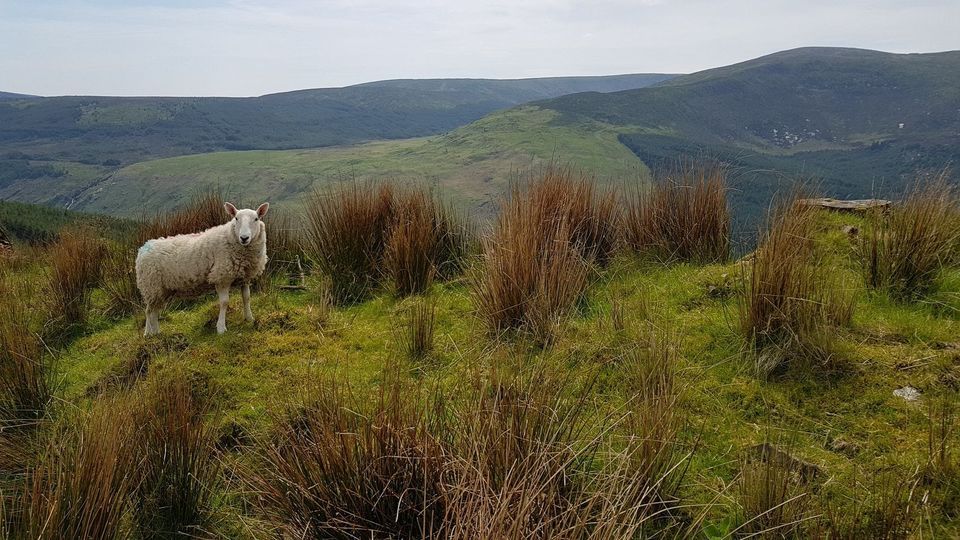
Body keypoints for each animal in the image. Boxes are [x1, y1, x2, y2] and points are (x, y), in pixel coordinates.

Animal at [136, 202, 270, 336]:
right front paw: (221, 328)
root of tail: (144, 248)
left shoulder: (244, 277)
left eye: (256, 219)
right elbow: (224, 302)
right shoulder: (221, 277)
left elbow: (246, 298)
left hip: (162, 289)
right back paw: (149, 334)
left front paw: (249, 318)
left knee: (154, 310)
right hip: (150, 286)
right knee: (149, 311)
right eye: (236, 218)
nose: (244, 238)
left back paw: (155, 332)